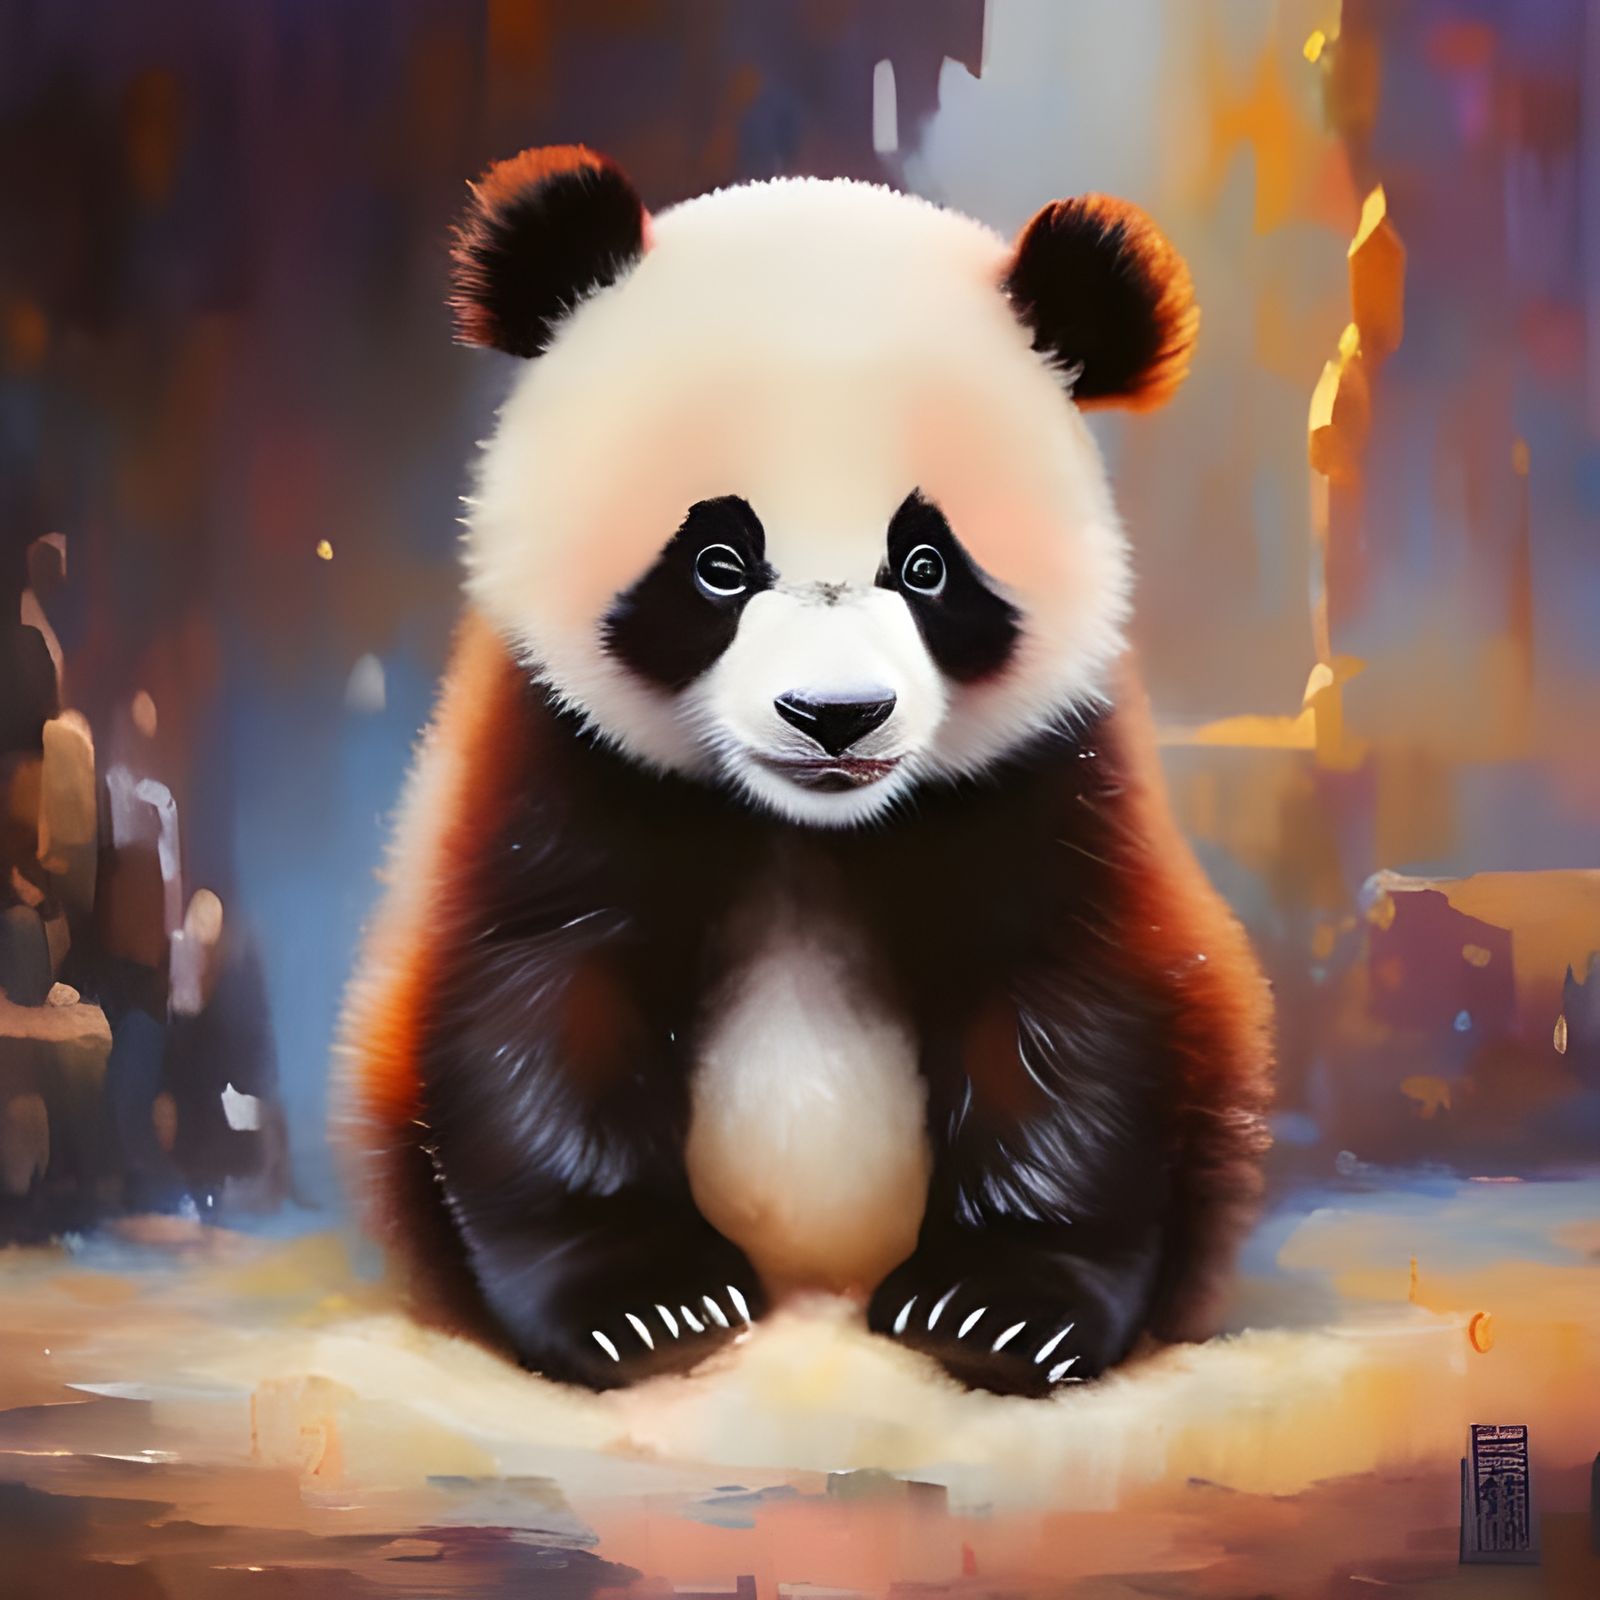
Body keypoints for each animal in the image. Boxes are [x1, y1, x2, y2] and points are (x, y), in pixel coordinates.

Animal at [338, 145, 1273, 1398]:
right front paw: (646, 1304)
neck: (806, 826)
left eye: (925, 564)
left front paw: (999, 1311)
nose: (835, 716)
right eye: (719, 561)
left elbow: (1070, 998)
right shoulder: (553, 750)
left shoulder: (1053, 766)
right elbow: (537, 985)